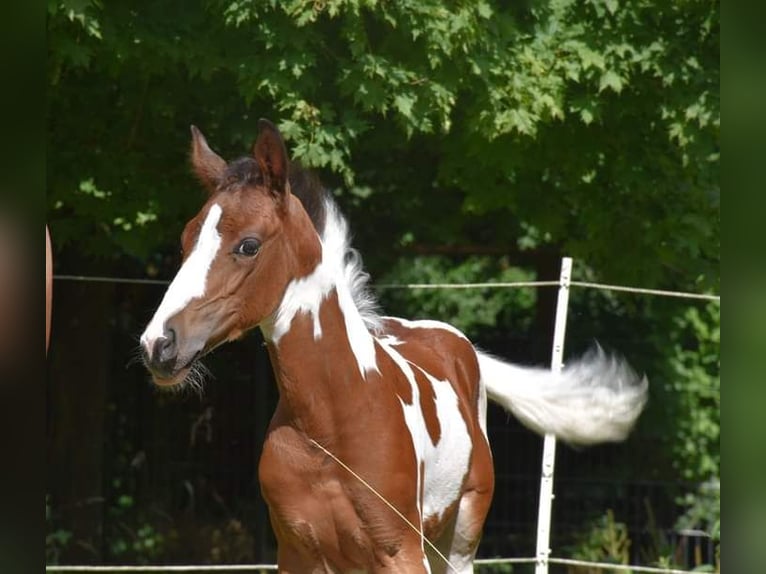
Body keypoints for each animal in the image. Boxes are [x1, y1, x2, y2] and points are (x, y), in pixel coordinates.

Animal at [141, 119, 652, 572]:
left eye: (248, 245)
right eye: (186, 240)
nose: (158, 344)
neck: (329, 423)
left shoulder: (400, 550)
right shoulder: (298, 554)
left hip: (459, 539)